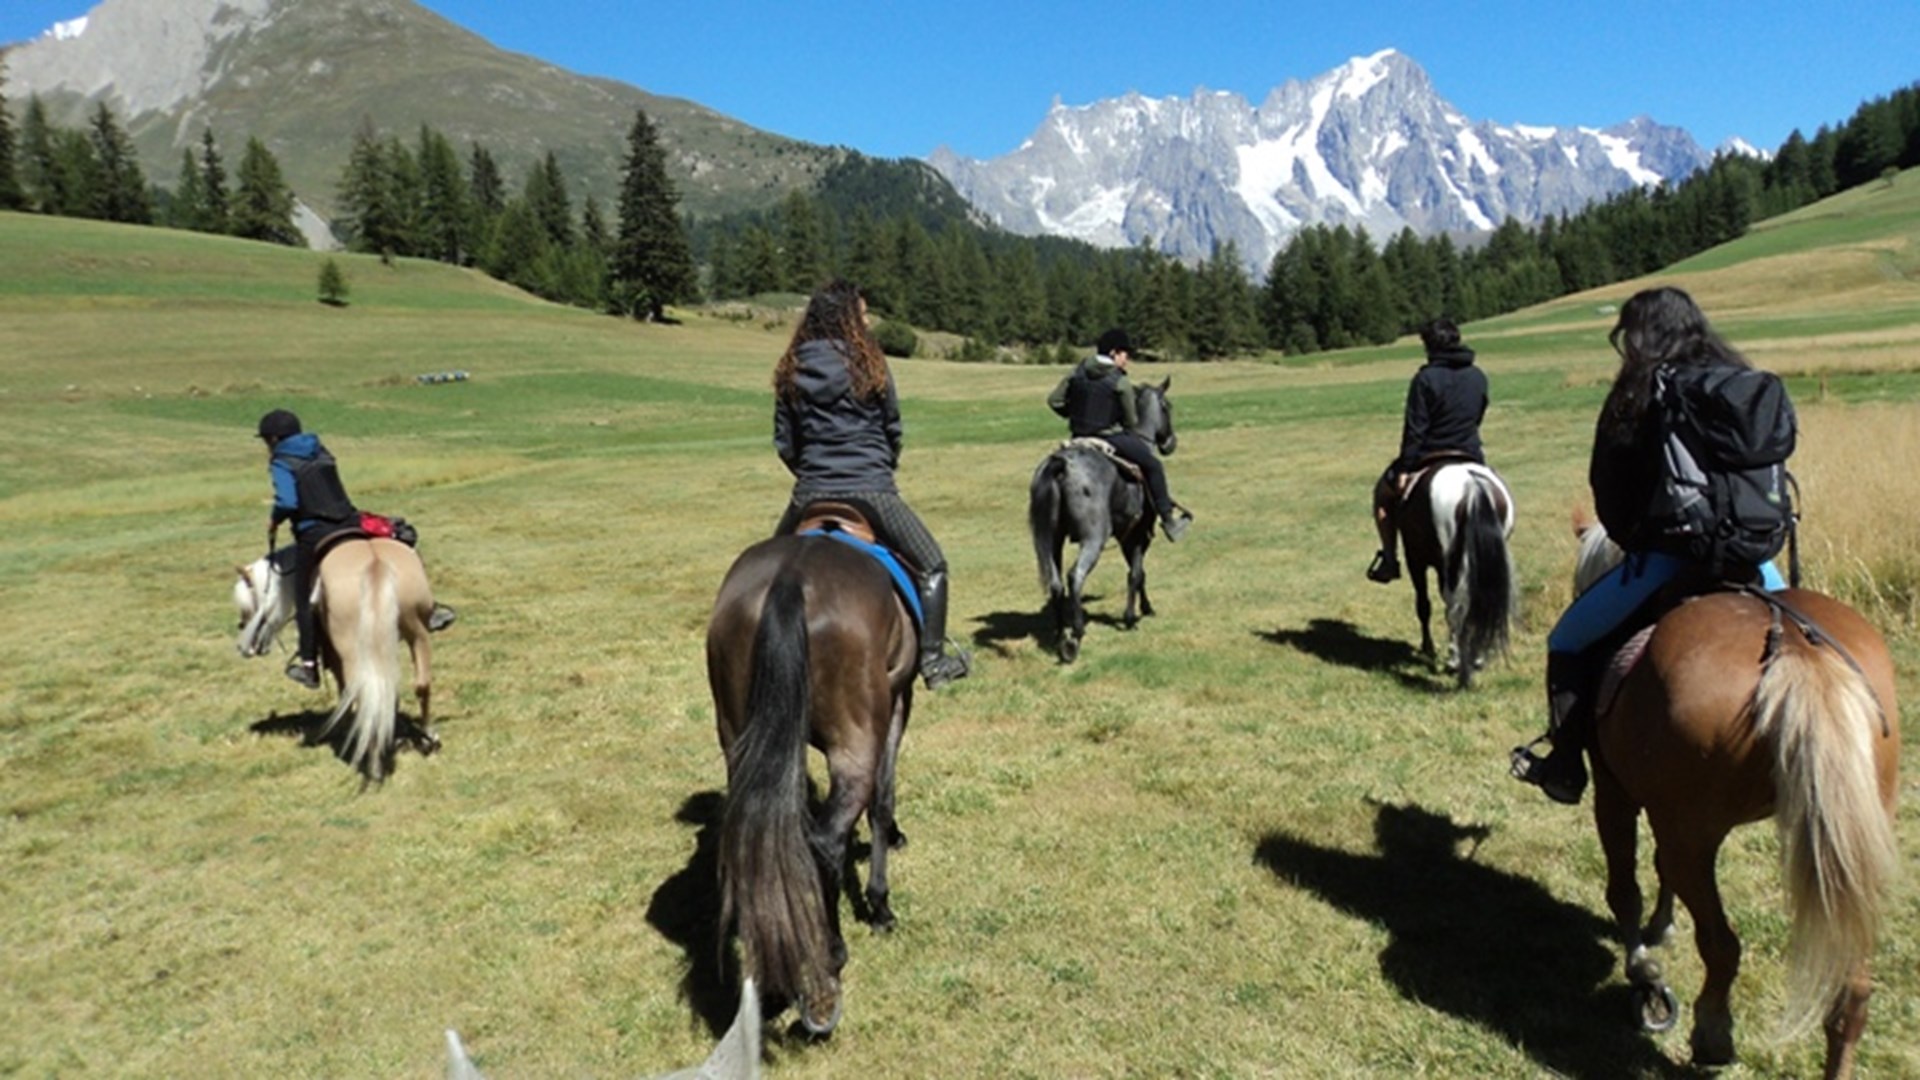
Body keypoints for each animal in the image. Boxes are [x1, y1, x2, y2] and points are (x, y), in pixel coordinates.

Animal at [234, 537, 439, 782]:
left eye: (247, 606)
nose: (243, 647)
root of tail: (375, 563)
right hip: (418, 634)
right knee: (421, 684)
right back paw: (428, 737)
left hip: (352, 649)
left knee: (362, 695)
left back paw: (372, 764)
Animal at [706, 508, 918, 1036]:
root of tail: (791, 578)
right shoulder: (898, 702)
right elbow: (883, 799)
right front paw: (880, 902)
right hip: (856, 739)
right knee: (827, 839)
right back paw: (832, 955)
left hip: (737, 735)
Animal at [1028, 378, 1177, 663]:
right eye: (1168, 407)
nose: (1171, 442)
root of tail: (1061, 464)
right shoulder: (1139, 535)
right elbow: (1136, 573)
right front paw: (1131, 617)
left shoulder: (1126, 537)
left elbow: (1138, 572)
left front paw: (1145, 608)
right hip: (1094, 538)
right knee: (1075, 575)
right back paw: (1075, 636)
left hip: (1053, 539)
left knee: (1056, 583)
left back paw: (1059, 632)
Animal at [1392, 459, 1515, 687]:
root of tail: (1471, 484)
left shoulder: (1415, 560)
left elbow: (1424, 606)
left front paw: (1429, 648)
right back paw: (1477, 657)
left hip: (1448, 563)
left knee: (1453, 606)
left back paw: (1454, 660)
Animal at [1569, 514, 1900, 1077]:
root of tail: (1792, 645)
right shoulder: (1673, 815)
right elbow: (1657, 873)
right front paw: (1661, 929)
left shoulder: (1617, 793)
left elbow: (1625, 887)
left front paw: (1643, 965)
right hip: (1854, 845)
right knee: (1852, 990)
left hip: (1689, 833)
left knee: (1721, 944)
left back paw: (1711, 1034)